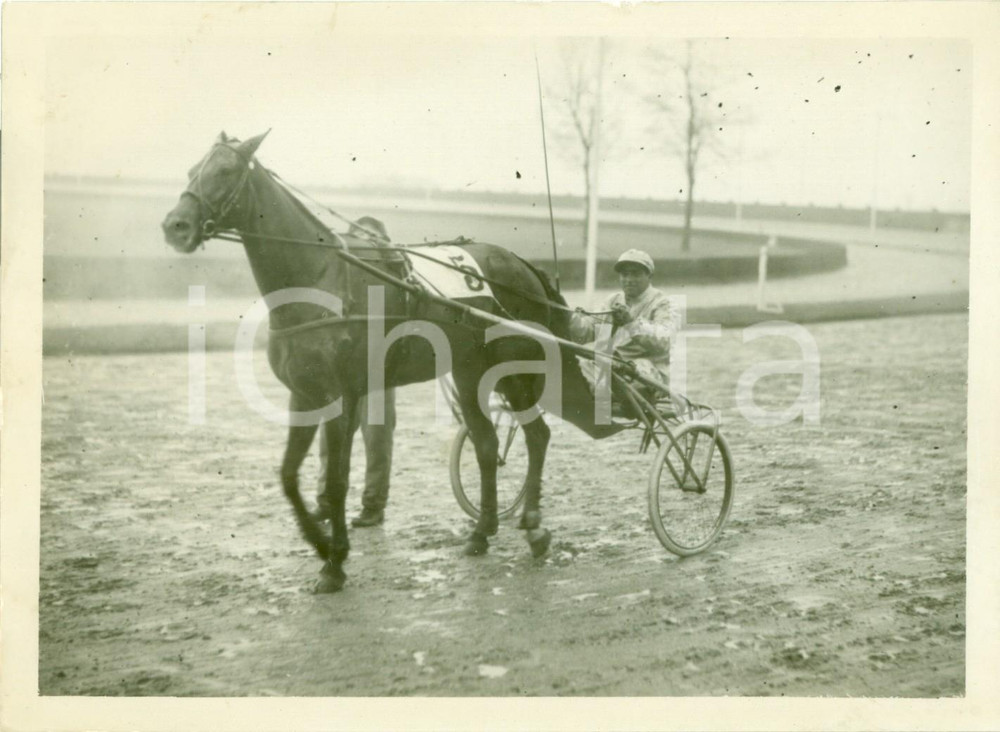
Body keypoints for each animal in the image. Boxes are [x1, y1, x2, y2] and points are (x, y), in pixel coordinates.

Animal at [161, 131, 617, 593]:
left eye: (225, 170)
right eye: (191, 169)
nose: (174, 226)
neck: (321, 279)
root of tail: (522, 265)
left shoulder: (341, 396)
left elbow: (337, 479)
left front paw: (334, 561)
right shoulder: (305, 394)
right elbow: (289, 476)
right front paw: (322, 544)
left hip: (514, 370)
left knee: (537, 436)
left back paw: (534, 526)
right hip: (470, 371)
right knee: (488, 445)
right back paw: (481, 532)